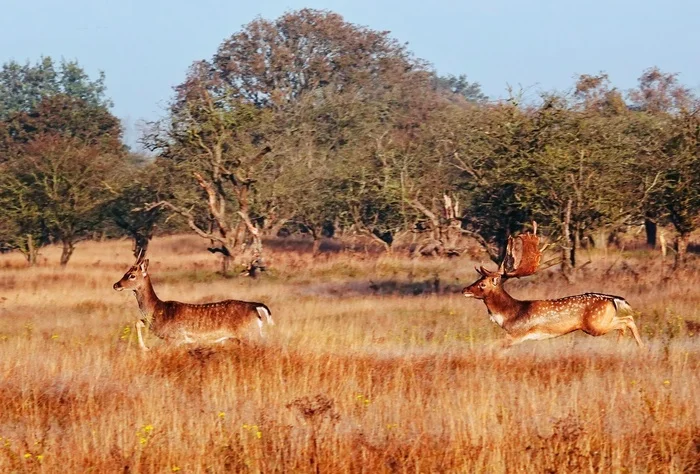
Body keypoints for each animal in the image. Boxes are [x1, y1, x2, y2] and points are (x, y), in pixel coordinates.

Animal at [113, 252, 274, 352]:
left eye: (131, 275)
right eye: (125, 272)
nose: (116, 285)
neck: (158, 310)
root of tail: (257, 307)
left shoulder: (174, 338)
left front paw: (145, 348)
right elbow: (137, 322)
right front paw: (145, 348)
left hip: (249, 334)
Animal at [462, 222, 644, 348]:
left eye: (482, 284)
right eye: (477, 279)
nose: (465, 289)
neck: (510, 315)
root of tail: (613, 299)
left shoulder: (517, 334)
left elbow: (493, 346)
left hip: (596, 324)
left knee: (626, 322)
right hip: (602, 320)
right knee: (628, 320)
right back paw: (636, 347)